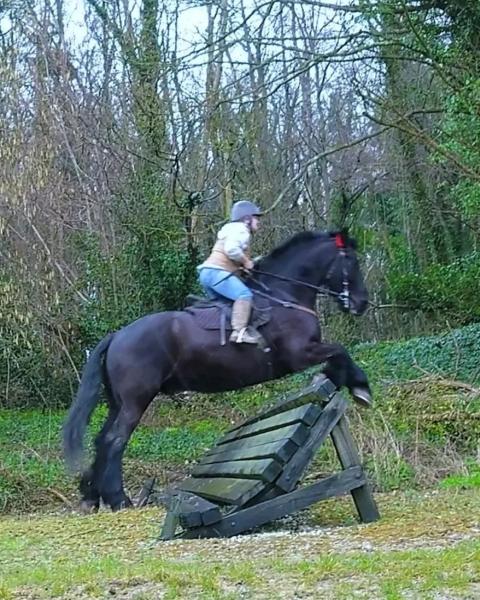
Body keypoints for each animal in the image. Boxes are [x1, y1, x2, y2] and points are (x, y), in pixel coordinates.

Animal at [62, 230, 372, 510]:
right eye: (353, 261)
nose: (362, 304)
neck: (284, 296)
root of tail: (117, 336)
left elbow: (337, 356)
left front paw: (337, 379)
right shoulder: (300, 354)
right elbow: (340, 351)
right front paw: (359, 387)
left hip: (117, 402)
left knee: (101, 440)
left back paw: (92, 496)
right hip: (135, 401)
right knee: (115, 441)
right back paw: (119, 499)